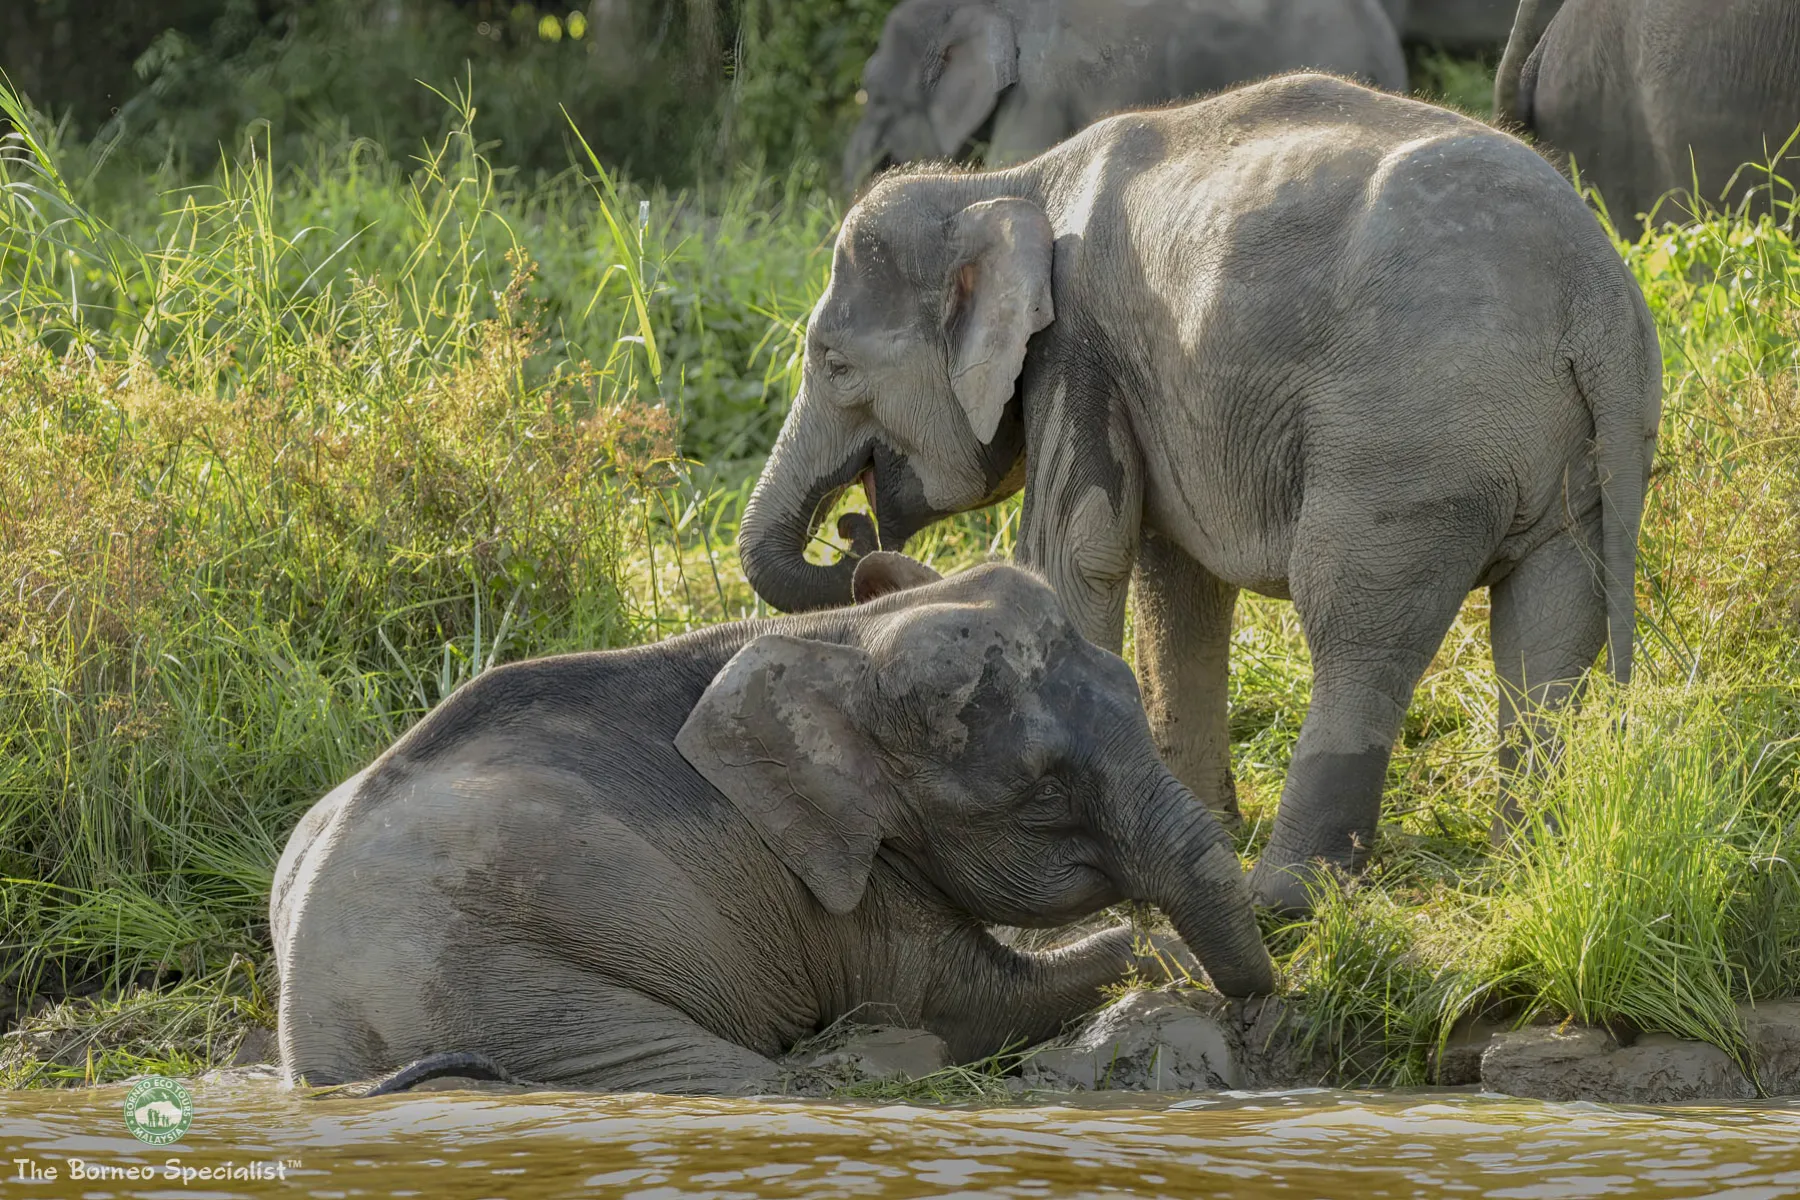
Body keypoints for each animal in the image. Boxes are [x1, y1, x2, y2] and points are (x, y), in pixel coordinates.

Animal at [270, 552, 1274, 1094]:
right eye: (1041, 793)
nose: (1264, 1003)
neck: (844, 636)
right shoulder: (835, 880)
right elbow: (968, 1005)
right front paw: (1167, 960)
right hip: (516, 998)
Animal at [739, 73, 1662, 914]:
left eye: (833, 364)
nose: (854, 533)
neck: (1005, 184)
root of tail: (1597, 293)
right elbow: (1176, 579)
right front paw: (1200, 829)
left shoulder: (1078, 344)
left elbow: (1075, 556)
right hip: (1573, 451)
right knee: (1551, 625)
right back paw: (1528, 872)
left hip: (1415, 431)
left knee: (1356, 619)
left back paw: (1285, 899)